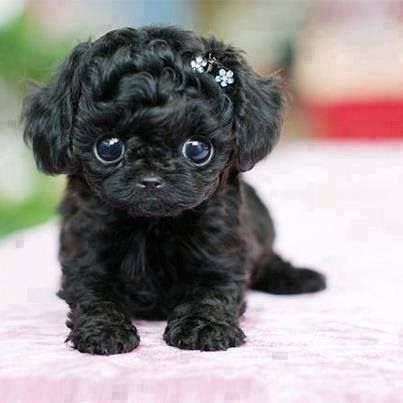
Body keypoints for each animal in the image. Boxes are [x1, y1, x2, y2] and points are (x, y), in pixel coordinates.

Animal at [22, 26, 326, 356]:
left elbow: (213, 292)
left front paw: (203, 327)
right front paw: (104, 331)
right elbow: (94, 295)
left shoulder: (221, 253)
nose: (151, 178)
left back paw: (299, 278)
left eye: (197, 150)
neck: (151, 225)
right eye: (108, 147)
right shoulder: (86, 252)